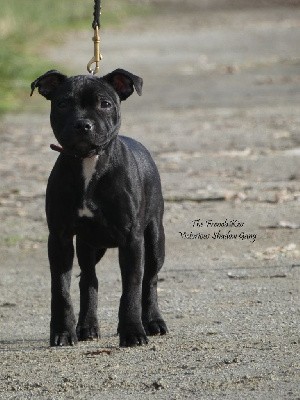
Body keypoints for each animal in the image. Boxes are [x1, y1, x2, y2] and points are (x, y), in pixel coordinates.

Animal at [31, 69, 168, 346]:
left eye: (105, 104)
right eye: (63, 104)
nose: (83, 124)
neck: (88, 162)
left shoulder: (131, 240)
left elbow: (132, 288)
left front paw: (132, 332)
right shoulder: (60, 238)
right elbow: (60, 289)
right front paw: (63, 332)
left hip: (155, 239)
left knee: (150, 279)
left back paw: (153, 321)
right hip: (89, 245)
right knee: (88, 279)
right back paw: (87, 326)